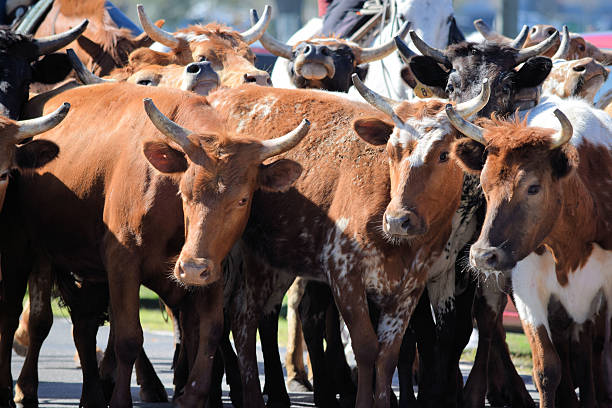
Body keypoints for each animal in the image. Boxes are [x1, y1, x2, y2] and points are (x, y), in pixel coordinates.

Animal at [7, 81, 308, 406]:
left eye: (242, 199)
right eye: (185, 191)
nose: (191, 269)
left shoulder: (214, 269)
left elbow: (210, 332)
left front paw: (191, 396)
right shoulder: (122, 262)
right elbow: (128, 338)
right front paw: (121, 401)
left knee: (84, 325)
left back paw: (92, 396)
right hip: (25, 250)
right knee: (28, 318)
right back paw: (26, 389)